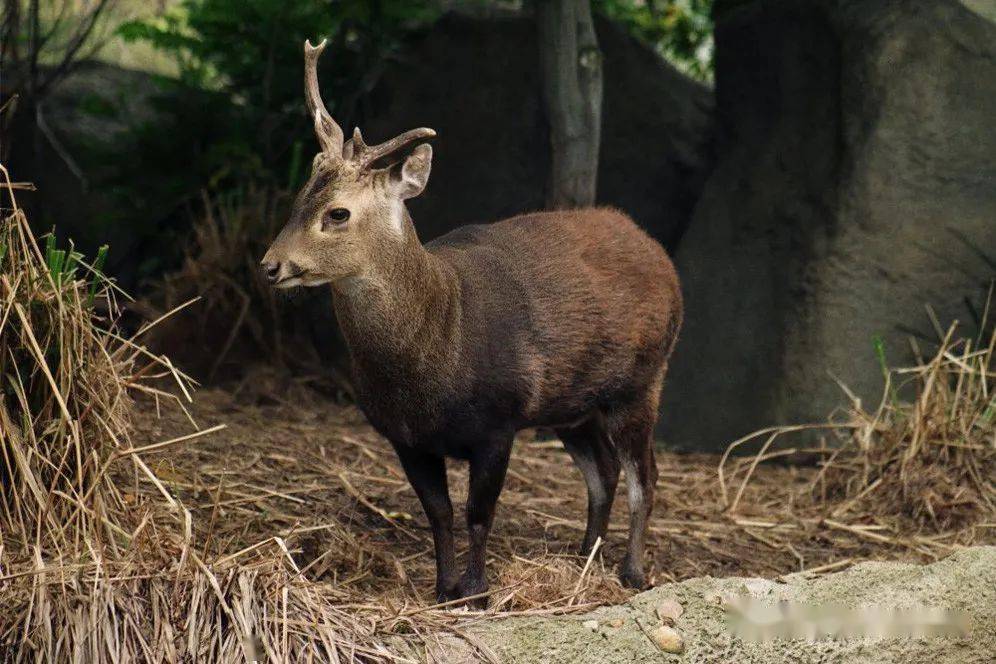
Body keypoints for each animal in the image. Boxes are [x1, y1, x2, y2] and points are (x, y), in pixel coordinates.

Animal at [258, 40, 684, 608]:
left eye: (338, 213)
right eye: (300, 197)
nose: (270, 265)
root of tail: (658, 253)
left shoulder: (497, 422)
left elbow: (479, 514)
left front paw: (476, 591)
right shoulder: (405, 437)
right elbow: (438, 515)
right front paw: (443, 588)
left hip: (643, 378)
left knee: (645, 476)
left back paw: (632, 572)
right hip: (571, 405)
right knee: (605, 472)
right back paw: (582, 558)